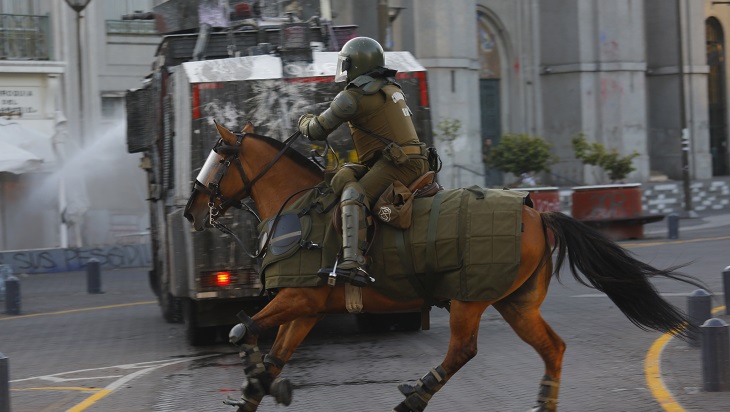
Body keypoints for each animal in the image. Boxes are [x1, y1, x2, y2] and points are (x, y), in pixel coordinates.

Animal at [182, 122, 700, 412]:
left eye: (219, 157)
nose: (190, 209)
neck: (299, 207)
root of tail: (538, 214)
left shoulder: (298, 298)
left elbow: (242, 330)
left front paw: (255, 376)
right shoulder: (305, 308)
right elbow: (268, 351)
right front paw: (256, 387)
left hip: (470, 298)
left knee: (463, 351)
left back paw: (414, 396)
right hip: (515, 303)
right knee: (553, 348)